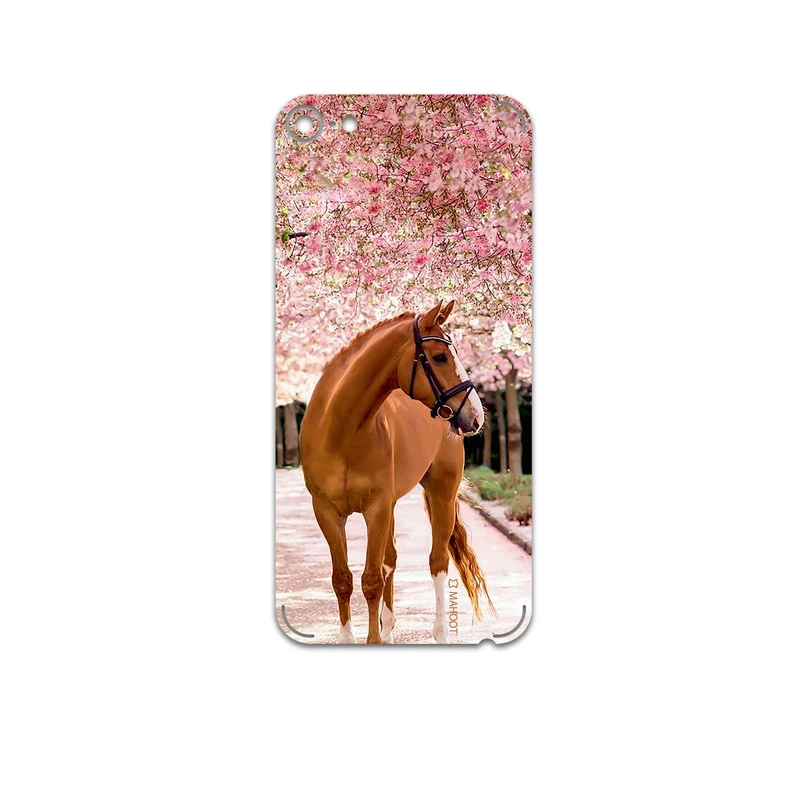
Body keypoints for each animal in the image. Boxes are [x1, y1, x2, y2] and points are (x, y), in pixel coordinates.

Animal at [299, 300, 494, 644]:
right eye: (440, 356)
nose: (475, 416)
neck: (340, 432)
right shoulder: (326, 511)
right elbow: (343, 579)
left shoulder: (376, 508)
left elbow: (371, 579)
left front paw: (373, 639)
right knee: (390, 560)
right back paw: (388, 627)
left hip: (441, 494)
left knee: (437, 562)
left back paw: (440, 632)